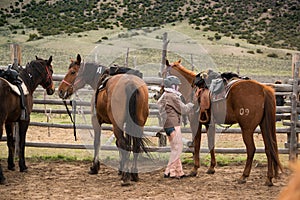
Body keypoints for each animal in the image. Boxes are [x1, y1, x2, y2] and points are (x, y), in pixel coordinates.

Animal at [0, 56, 55, 184]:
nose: (52, 89)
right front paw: (23, 166)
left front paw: (11, 165)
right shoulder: (25, 120)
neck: (26, 81)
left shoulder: (9, 121)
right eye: (51, 71)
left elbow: (10, 142)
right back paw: (2, 178)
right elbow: (22, 142)